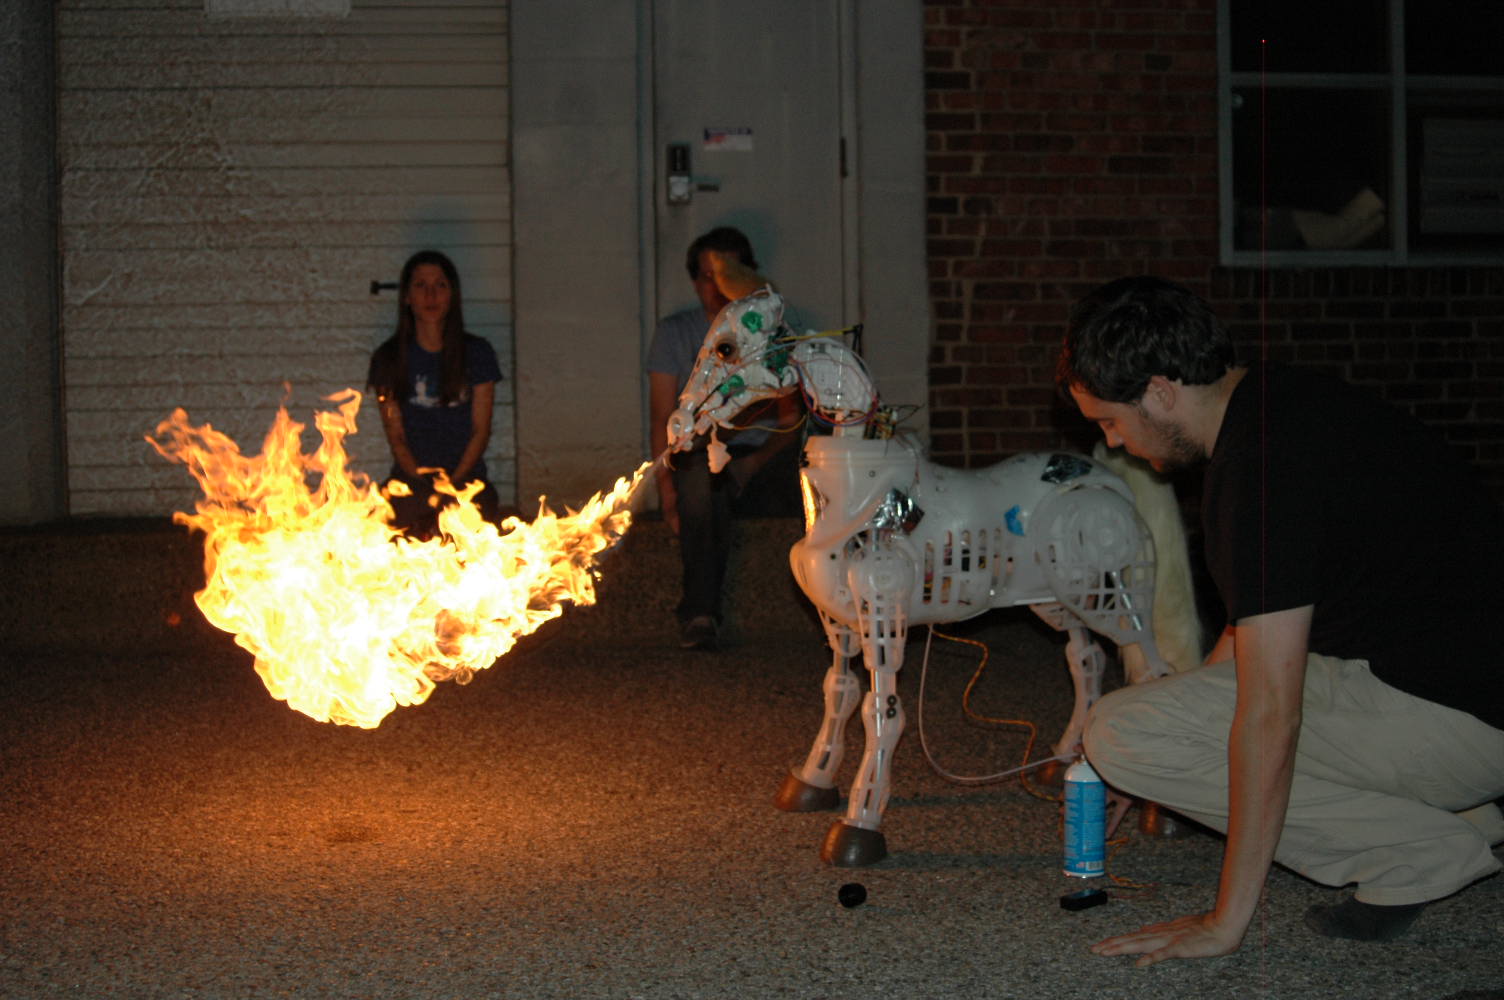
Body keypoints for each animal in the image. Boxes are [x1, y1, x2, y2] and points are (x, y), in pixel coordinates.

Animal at [667, 288, 1197, 866]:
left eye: (725, 345)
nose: (678, 426)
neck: (853, 498)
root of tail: (1114, 486)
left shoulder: (883, 615)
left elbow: (882, 710)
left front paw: (859, 824)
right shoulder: (839, 621)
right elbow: (839, 693)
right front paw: (811, 782)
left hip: (1111, 594)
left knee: (1153, 670)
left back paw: (1160, 815)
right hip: (1057, 601)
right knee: (1086, 662)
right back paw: (1062, 763)